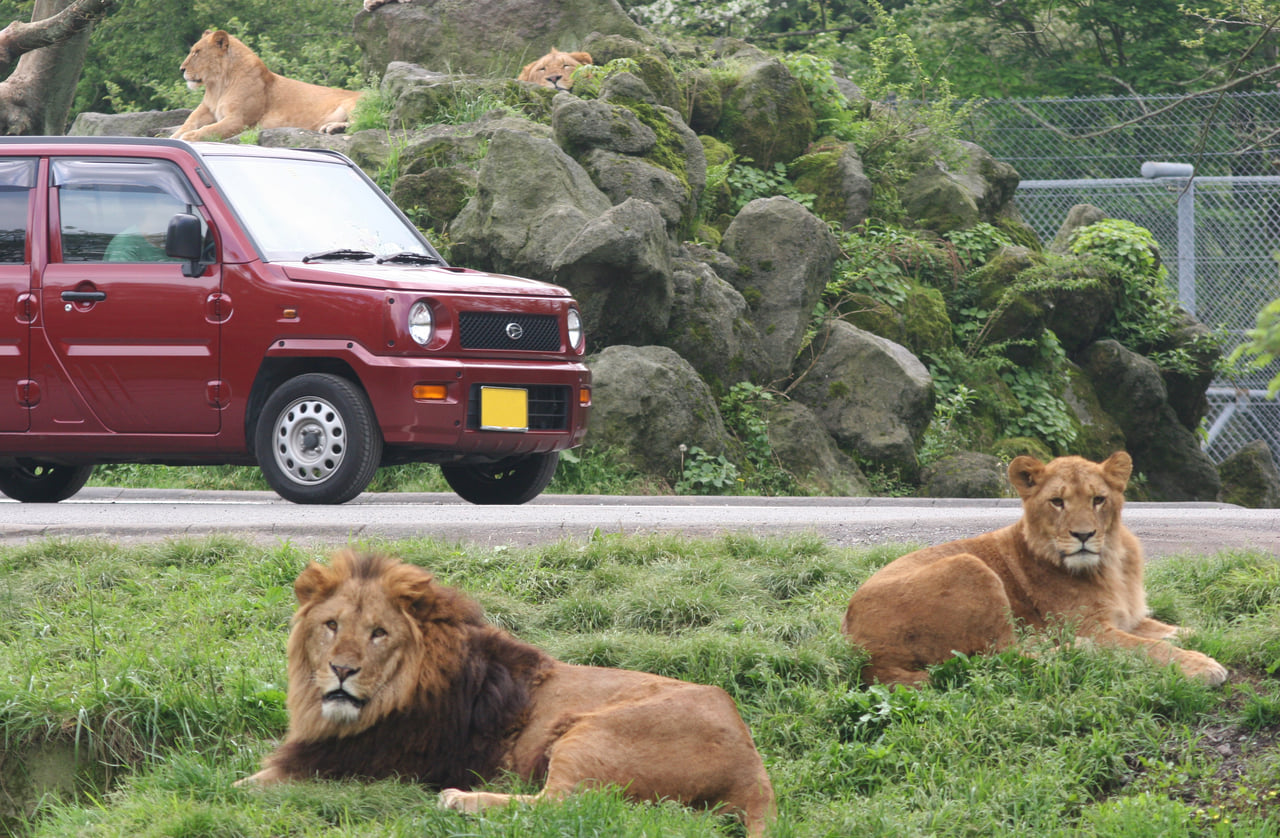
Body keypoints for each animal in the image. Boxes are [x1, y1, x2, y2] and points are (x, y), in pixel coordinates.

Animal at [170, 29, 366, 142]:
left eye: (197, 52)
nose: (181, 69)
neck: (217, 85)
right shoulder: (207, 110)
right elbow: (187, 123)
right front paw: (175, 136)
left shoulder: (239, 120)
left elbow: (209, 130)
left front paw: (189, 137)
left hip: (354, 106)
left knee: (359, 124)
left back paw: (334, 127)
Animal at [240, 550, 778, 838]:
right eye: (331, 625)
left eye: (378, 633)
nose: (341, 670)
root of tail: (753, 765)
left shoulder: (359, 769)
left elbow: (251, 781)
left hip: (588, 733)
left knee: (563, 805)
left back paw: (459, 800)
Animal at [839, 452, 1228, 690]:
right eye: (1057, 502)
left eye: (1098, 499)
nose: (1083, 535)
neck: (1111, 561)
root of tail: (856, 644)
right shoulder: (1092, 626)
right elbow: (1147, 648)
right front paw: (1201, 665)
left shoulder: (1128, 617)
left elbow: (1175, 630)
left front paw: (1197, 635)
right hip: (969, 566)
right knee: (998, 656)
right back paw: (1078, 649)